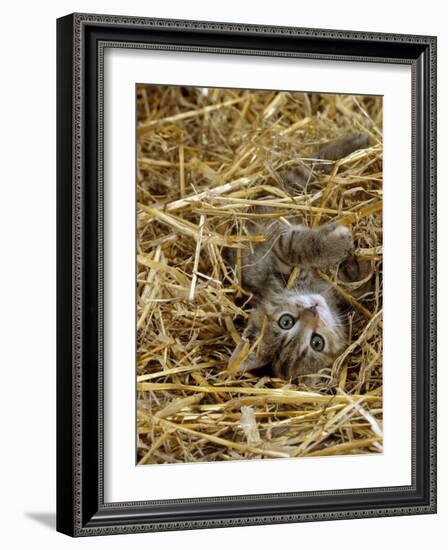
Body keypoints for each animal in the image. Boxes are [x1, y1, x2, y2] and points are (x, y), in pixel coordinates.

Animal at [229, 133, 370, 384]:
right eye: (317, 342)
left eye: (285, 321)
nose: (312, 310)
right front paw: (342, 246)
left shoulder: (278, 256)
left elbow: (292, 247)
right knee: (309, 169)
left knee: (310, 167)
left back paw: (355, 142)